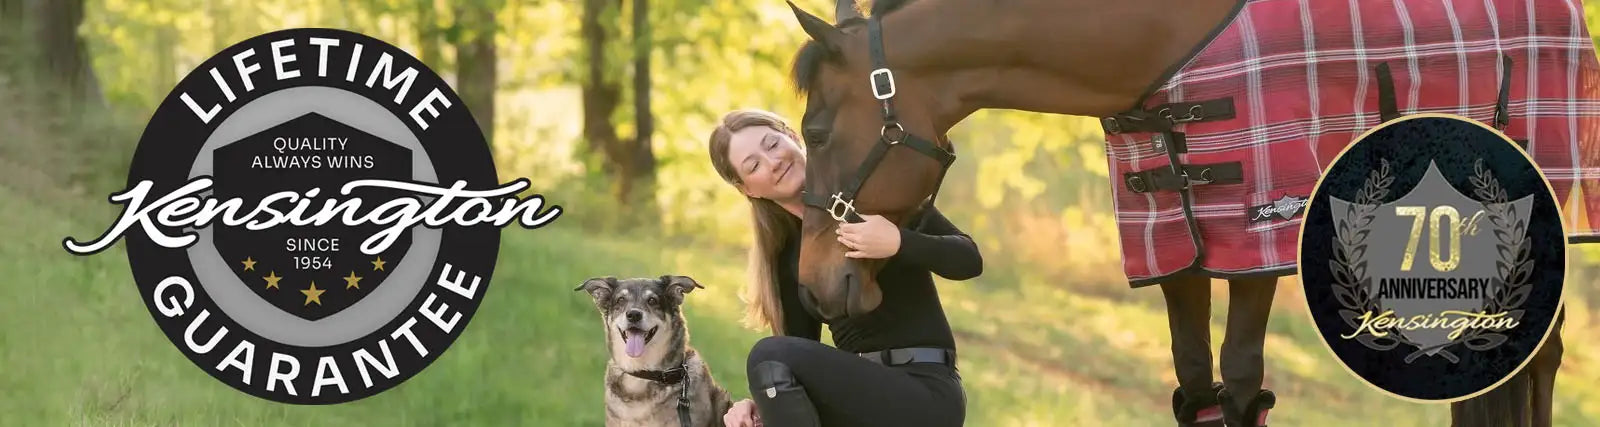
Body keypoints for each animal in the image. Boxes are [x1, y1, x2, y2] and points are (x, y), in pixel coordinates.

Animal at [784, 0, 1596, 425]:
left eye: (816, 130)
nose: (814, 286)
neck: (1164, 42)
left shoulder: (1257, 235)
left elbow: (1238, 384)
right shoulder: (1175, 240)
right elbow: (1195, 380)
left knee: (1540, 357)